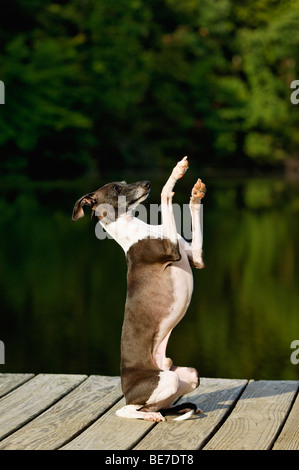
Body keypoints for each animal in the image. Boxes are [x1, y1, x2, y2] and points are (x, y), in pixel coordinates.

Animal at [72, 157, 206, 422]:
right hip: (164, 380)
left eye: (124, 182)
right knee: (125, 410)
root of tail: (128, 390)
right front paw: (176, 173)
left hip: (188, 375)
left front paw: (196, 194)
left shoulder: (195, 258)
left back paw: (157, 413)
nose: (146, 183)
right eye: (116, 188)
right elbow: (165, 194)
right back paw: (148, 416)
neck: (137, 231)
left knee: (150, 405)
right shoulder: (171, 249)